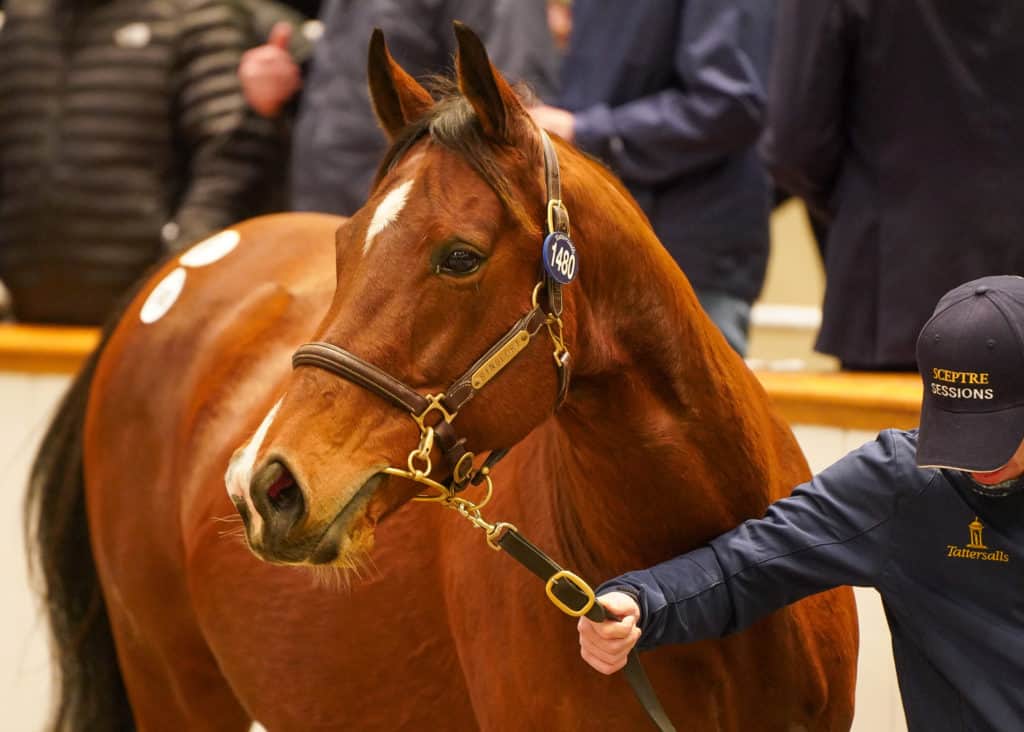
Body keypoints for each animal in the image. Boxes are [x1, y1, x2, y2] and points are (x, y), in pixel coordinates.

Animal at [25, 22, 856, 732]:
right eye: (344, 244)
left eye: (460, 257)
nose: (265, 486)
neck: (709, 588)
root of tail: (180, 266)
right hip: (171, 685)